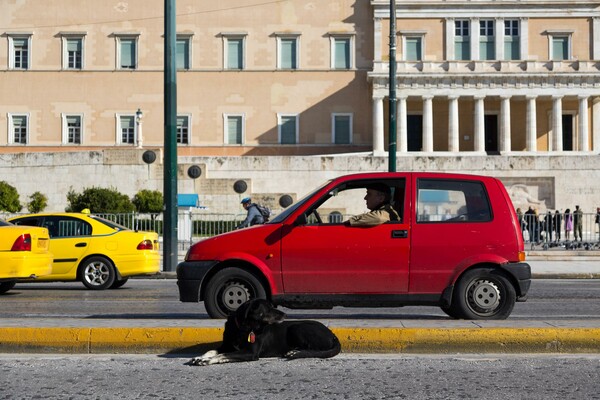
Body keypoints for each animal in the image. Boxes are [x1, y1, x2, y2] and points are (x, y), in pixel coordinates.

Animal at [190, 296, 340, 366]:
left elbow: (224, 354)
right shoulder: (226, 345)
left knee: (316, 350)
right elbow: (212, 350)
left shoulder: (250, 353)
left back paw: (296, 352)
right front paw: (200, 357)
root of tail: (332, 334)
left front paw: (207, 360)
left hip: (297, 327)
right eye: (268, 308)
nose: (286, 315)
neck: (243, 328)